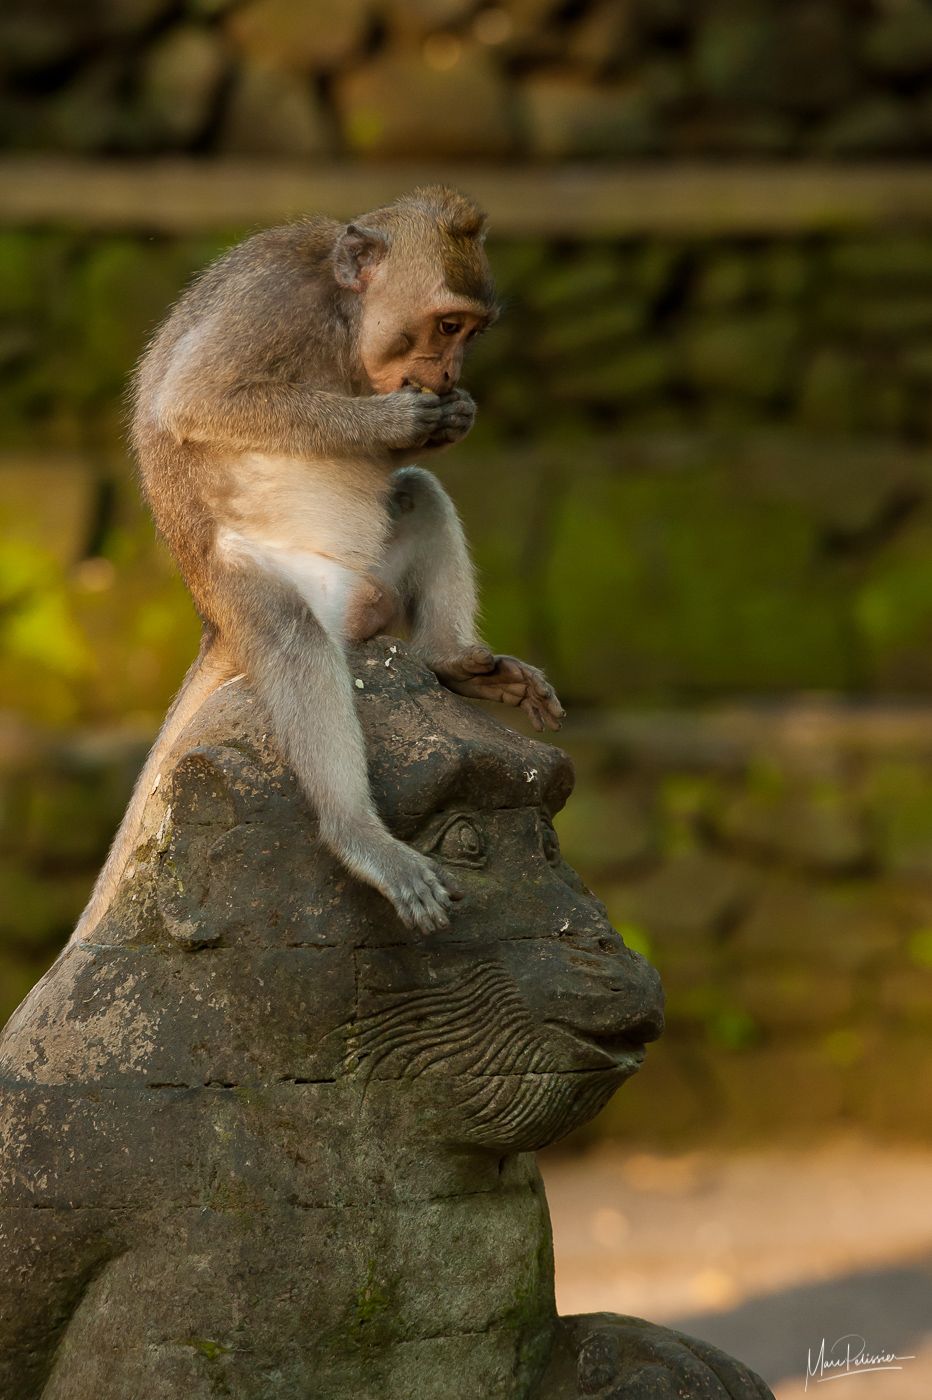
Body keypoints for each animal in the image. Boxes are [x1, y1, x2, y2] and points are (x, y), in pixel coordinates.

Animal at [73, 186, 563, 943]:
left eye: (471, 335)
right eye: (447, 325)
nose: (450, 375)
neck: (343, 315)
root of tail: (212, 621)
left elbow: (406, 474)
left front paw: (451, 416)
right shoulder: (275, 303)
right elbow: (200, 400)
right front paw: (395, 421)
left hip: (372, 588)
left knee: (417, 494)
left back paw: (452, 659)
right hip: (245, 589)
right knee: (295, 641)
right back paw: (356, 831)